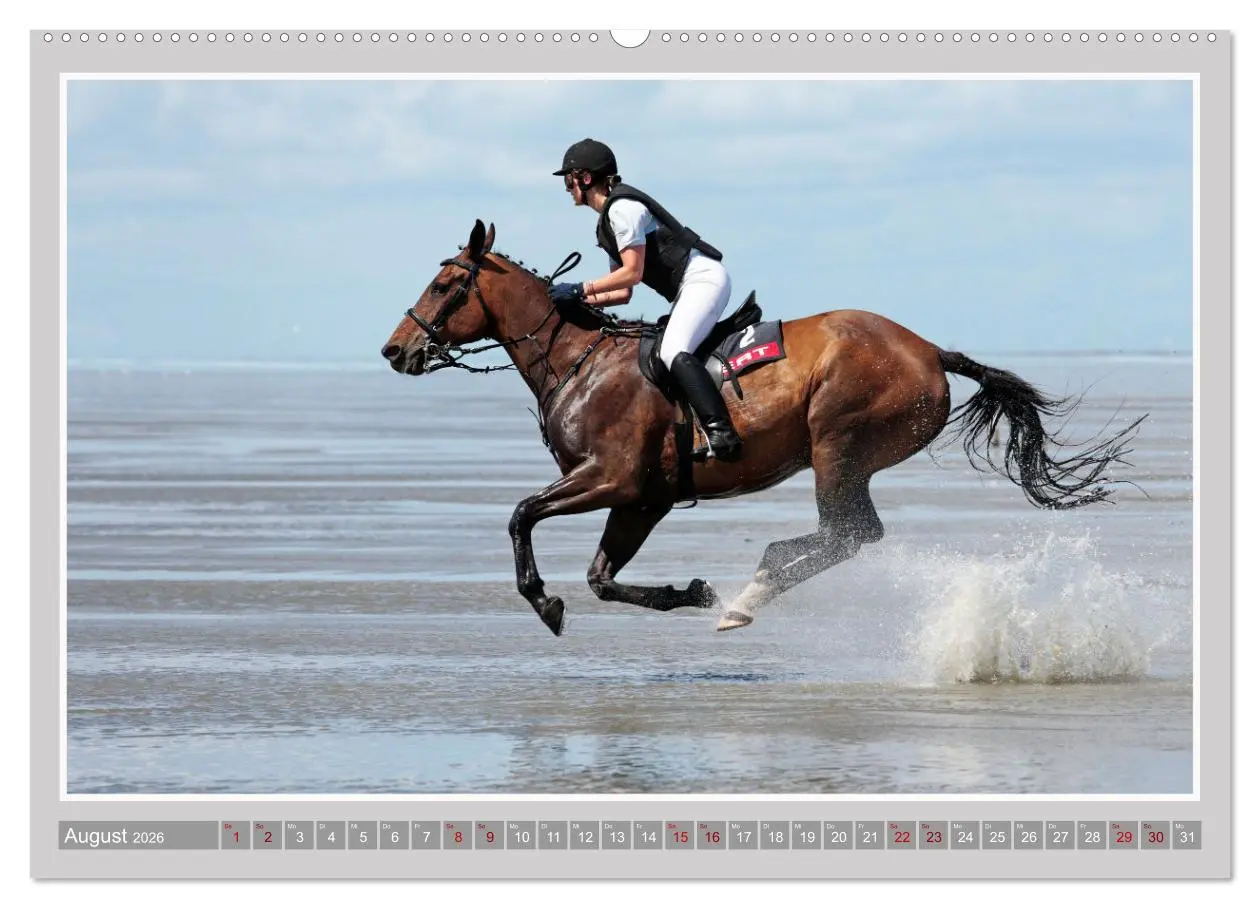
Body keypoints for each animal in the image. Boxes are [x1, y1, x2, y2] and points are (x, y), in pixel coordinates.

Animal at [380, 219, 1146, 637]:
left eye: (445, 286)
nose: (395, 350)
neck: (576, 360)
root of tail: (930, 351)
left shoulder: (610, 478)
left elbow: (520, 515)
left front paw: (544, 603)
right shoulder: (643, 499)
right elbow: (600, 577)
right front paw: (686, 592)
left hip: (839, 444)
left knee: (851, 534)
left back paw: (752, 591)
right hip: (844, 457)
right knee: (848, 536)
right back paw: (749, 586)